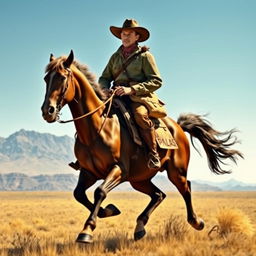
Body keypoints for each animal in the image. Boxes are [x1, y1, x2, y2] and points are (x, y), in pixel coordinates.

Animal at [41, 50, 243, 244]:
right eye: (46, 79)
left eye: (62, 77)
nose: (47, 111)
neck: (97, 129)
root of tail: (178, 127)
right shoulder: (88, 172)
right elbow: (79, 194)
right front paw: (109, 211)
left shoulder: (119, 170)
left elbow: (100, 192)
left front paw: (86, 232)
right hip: (139, 179)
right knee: (158, 194)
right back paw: (139, 227)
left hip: (175, 172)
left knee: (186, 188)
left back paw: (196, 222)